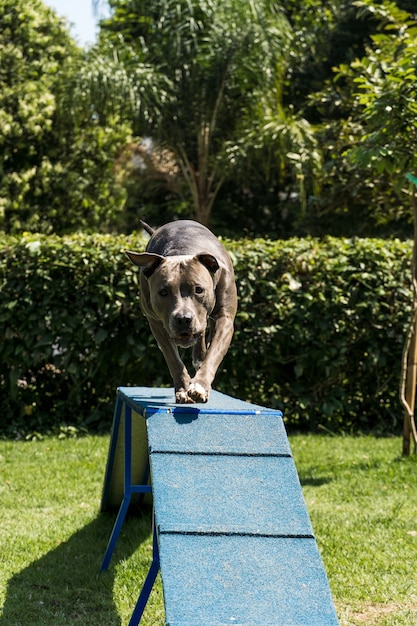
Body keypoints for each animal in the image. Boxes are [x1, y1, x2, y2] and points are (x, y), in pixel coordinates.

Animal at [125, 221, 237, 404]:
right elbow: (173, 360)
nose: (183, 319)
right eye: (163, 292)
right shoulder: (156, 323)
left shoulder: (225, 319)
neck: (184, 251)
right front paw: (184, 389)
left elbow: (213, 354)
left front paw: (200, 385)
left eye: (199, 290)